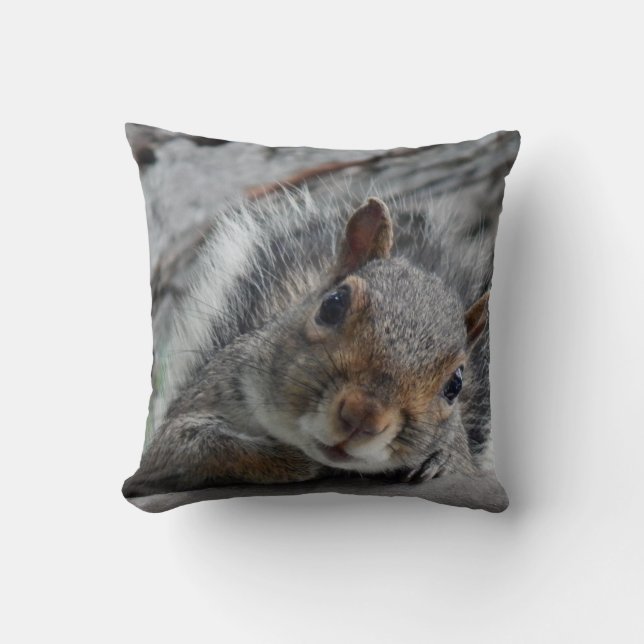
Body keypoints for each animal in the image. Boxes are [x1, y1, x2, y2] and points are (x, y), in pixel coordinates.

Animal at [123, 193, 491, 498]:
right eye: (332, 305)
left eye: (455, 384)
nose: (363, 415)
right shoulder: (185, 425)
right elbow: (195, 448)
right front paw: (298, 460)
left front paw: (439, 460)